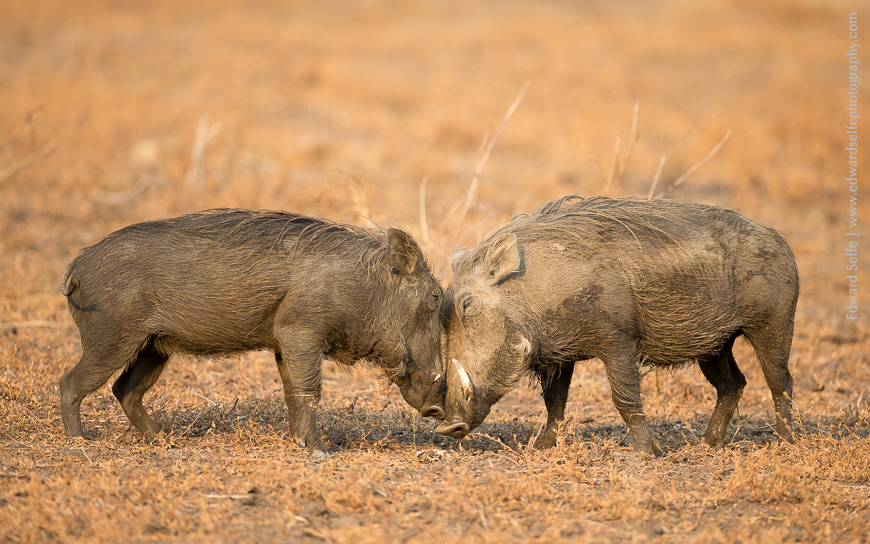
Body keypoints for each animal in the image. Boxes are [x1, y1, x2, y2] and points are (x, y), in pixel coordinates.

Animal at [59, 209, 446, 457]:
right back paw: (80, 443)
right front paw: (319, 452)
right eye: (435, 297)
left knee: (125, 389)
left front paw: (299, 442)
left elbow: (292, 393)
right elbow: (309, 392)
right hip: (110, 340)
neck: (368, 285)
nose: (440, 409)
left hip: (153, 348)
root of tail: (77, 264)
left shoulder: (284, 344)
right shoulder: (301, 333)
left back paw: (164, 440)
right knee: (71, 384)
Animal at [436, 195, 799, 453]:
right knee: (732, 385)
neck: (535, 287)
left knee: (780, 381)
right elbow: (554, 403)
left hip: (773, 327)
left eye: (467, 305)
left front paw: (643, 451)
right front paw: (542, 447)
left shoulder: (617, 342)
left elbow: (625, 398)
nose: (446, 427)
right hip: (714, 344)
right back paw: (706, 444)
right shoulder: (558, 356)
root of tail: (779, 239)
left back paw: (786, 441)